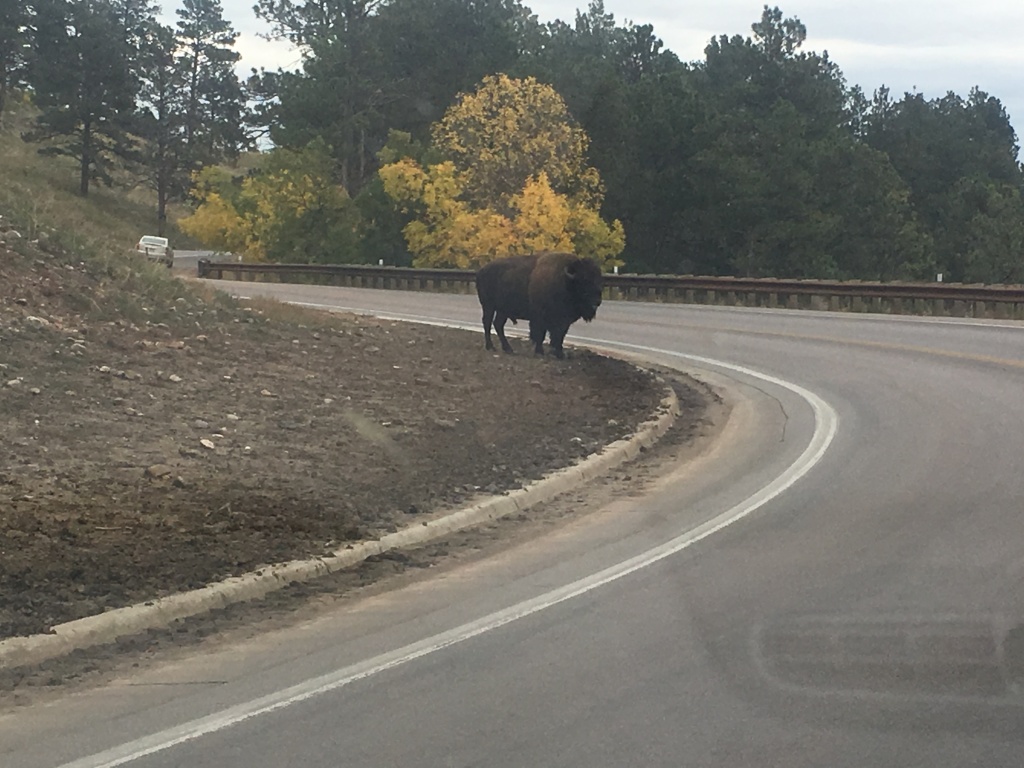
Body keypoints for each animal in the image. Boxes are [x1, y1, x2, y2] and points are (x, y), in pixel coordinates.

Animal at [475, 252, 604, 359]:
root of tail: (481, 271)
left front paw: (560, 354)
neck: (565, 280)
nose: (597, 301)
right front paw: (540, 352)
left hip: (503, 311)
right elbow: (540, 335)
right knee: (487, 323)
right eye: (584, 280)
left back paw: (508, 349)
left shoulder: (563, 321)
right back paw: (491, 347)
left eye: (598, 279)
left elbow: (559, 336)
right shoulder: (540, 317)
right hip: (488, 306)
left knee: (498, 324)